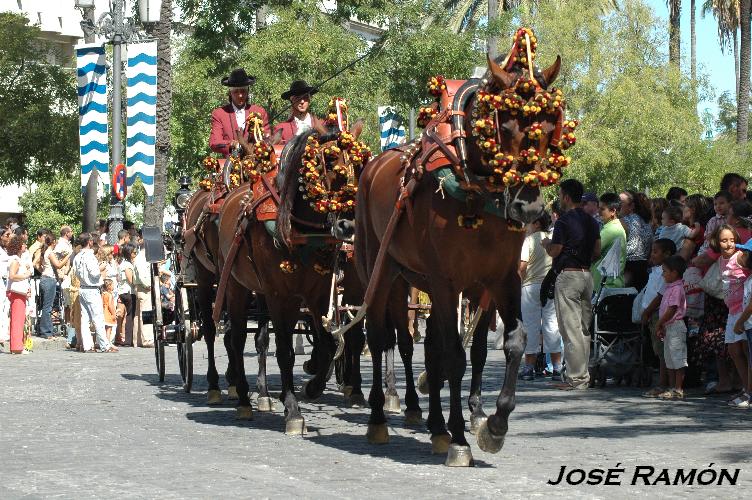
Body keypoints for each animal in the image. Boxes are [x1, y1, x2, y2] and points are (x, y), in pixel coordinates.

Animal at [354, 50, 564, 464]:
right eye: (505, 127)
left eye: (550, 131)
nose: (530, 208)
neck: (473, 190)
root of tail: (372, 166)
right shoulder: (445, 281)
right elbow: (454, 355)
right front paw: (460, 440)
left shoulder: (500, 280)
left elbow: (512, 342)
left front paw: (493, 425)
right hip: (382, 272)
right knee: (381, 334)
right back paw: (380, 417)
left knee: (429, 346)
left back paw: (435, 423)